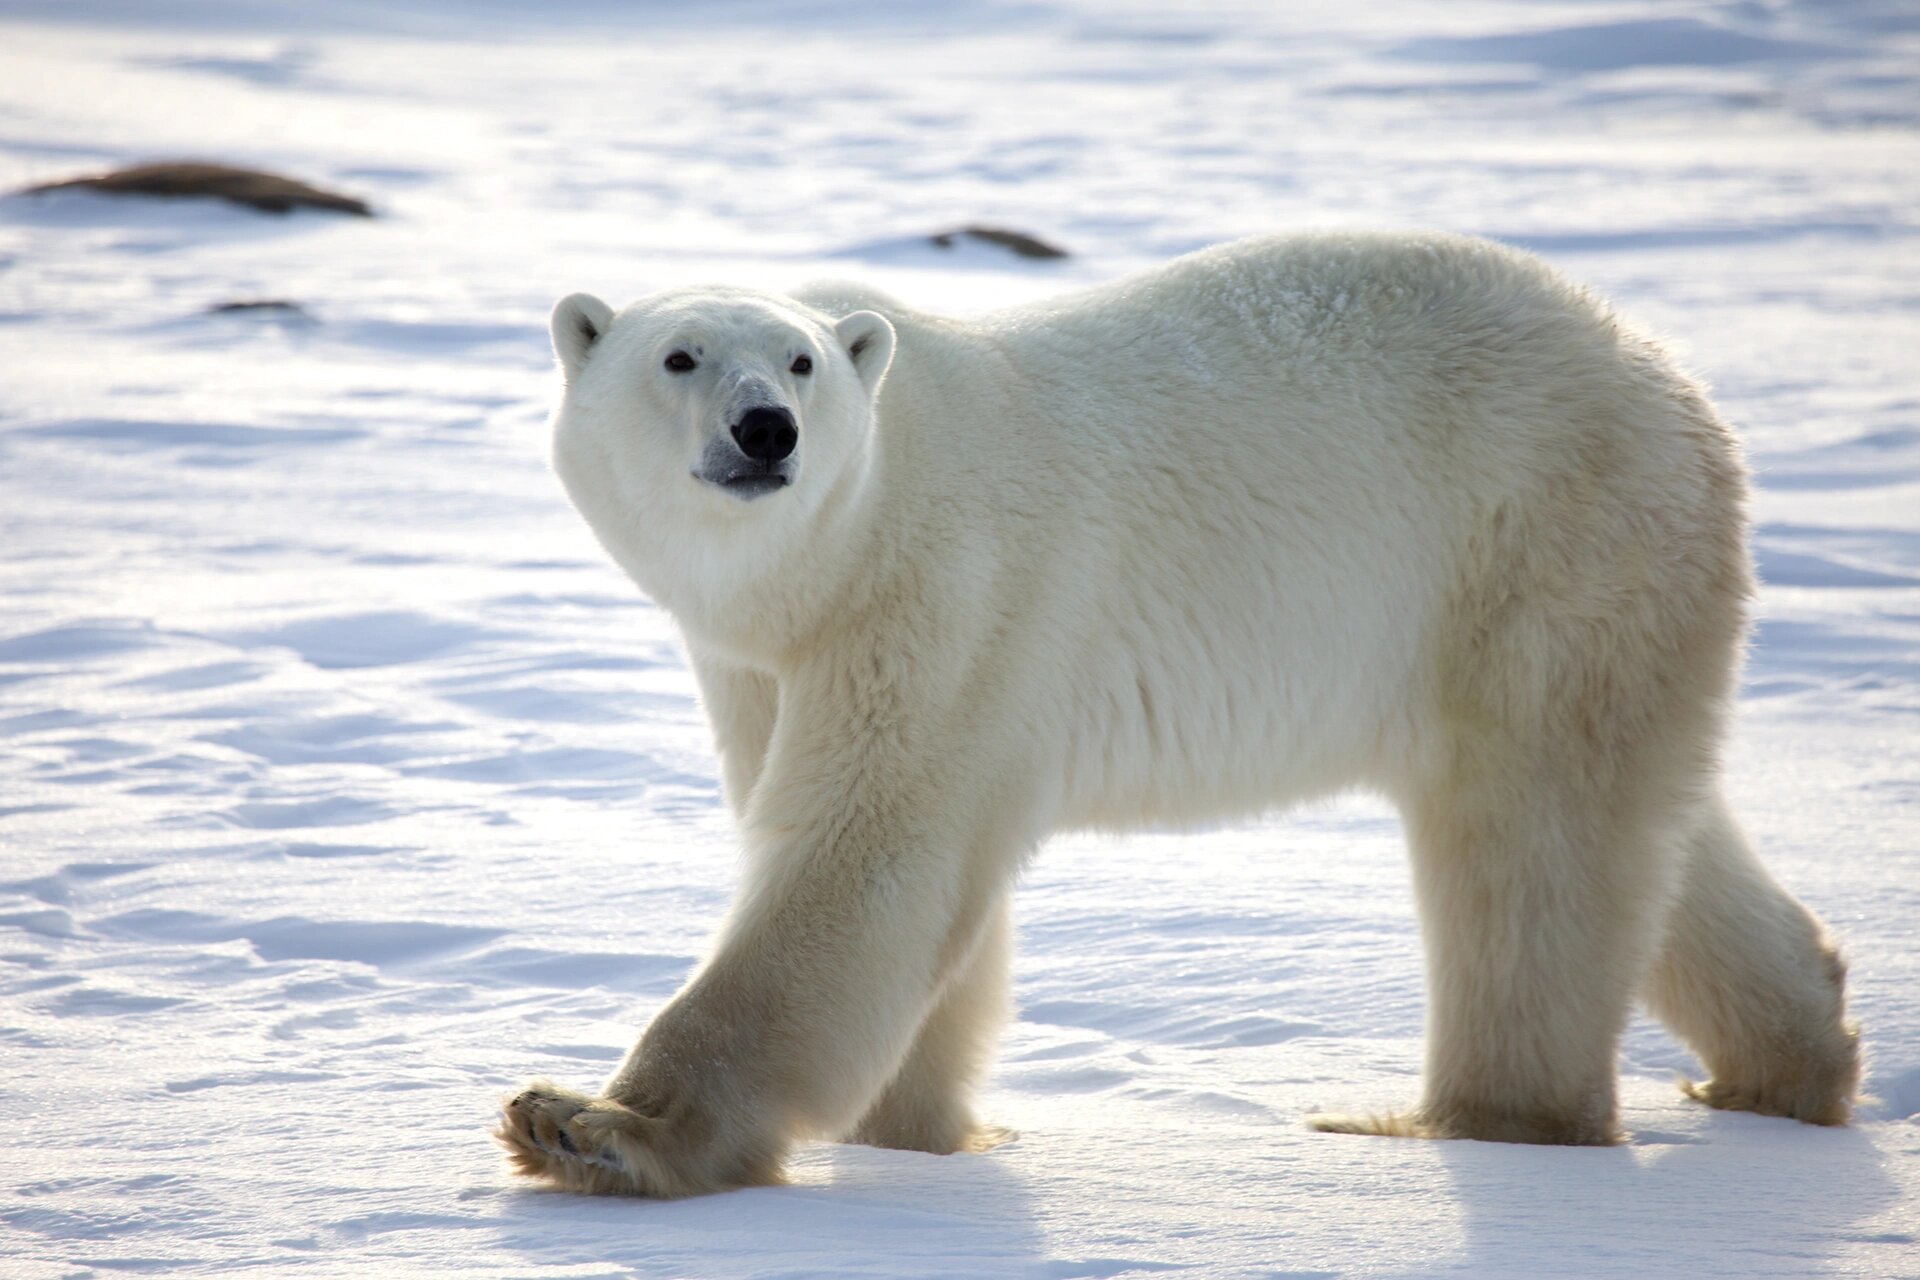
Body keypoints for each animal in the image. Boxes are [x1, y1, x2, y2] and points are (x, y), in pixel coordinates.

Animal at [495, 233, 1858, 1205]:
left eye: (800, 365)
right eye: (679, 357)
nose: (764, 430)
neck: (841, 544)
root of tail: (1670, 379)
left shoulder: (950, 586)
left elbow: (864, 853)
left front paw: (590, 1124)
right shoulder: (763, 661)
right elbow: (923, 894)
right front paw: (920, 1135)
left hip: (1536, 543)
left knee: (1527, 848)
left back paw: (1461, 1121)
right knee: (1650, 826)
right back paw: (1791, 1058)